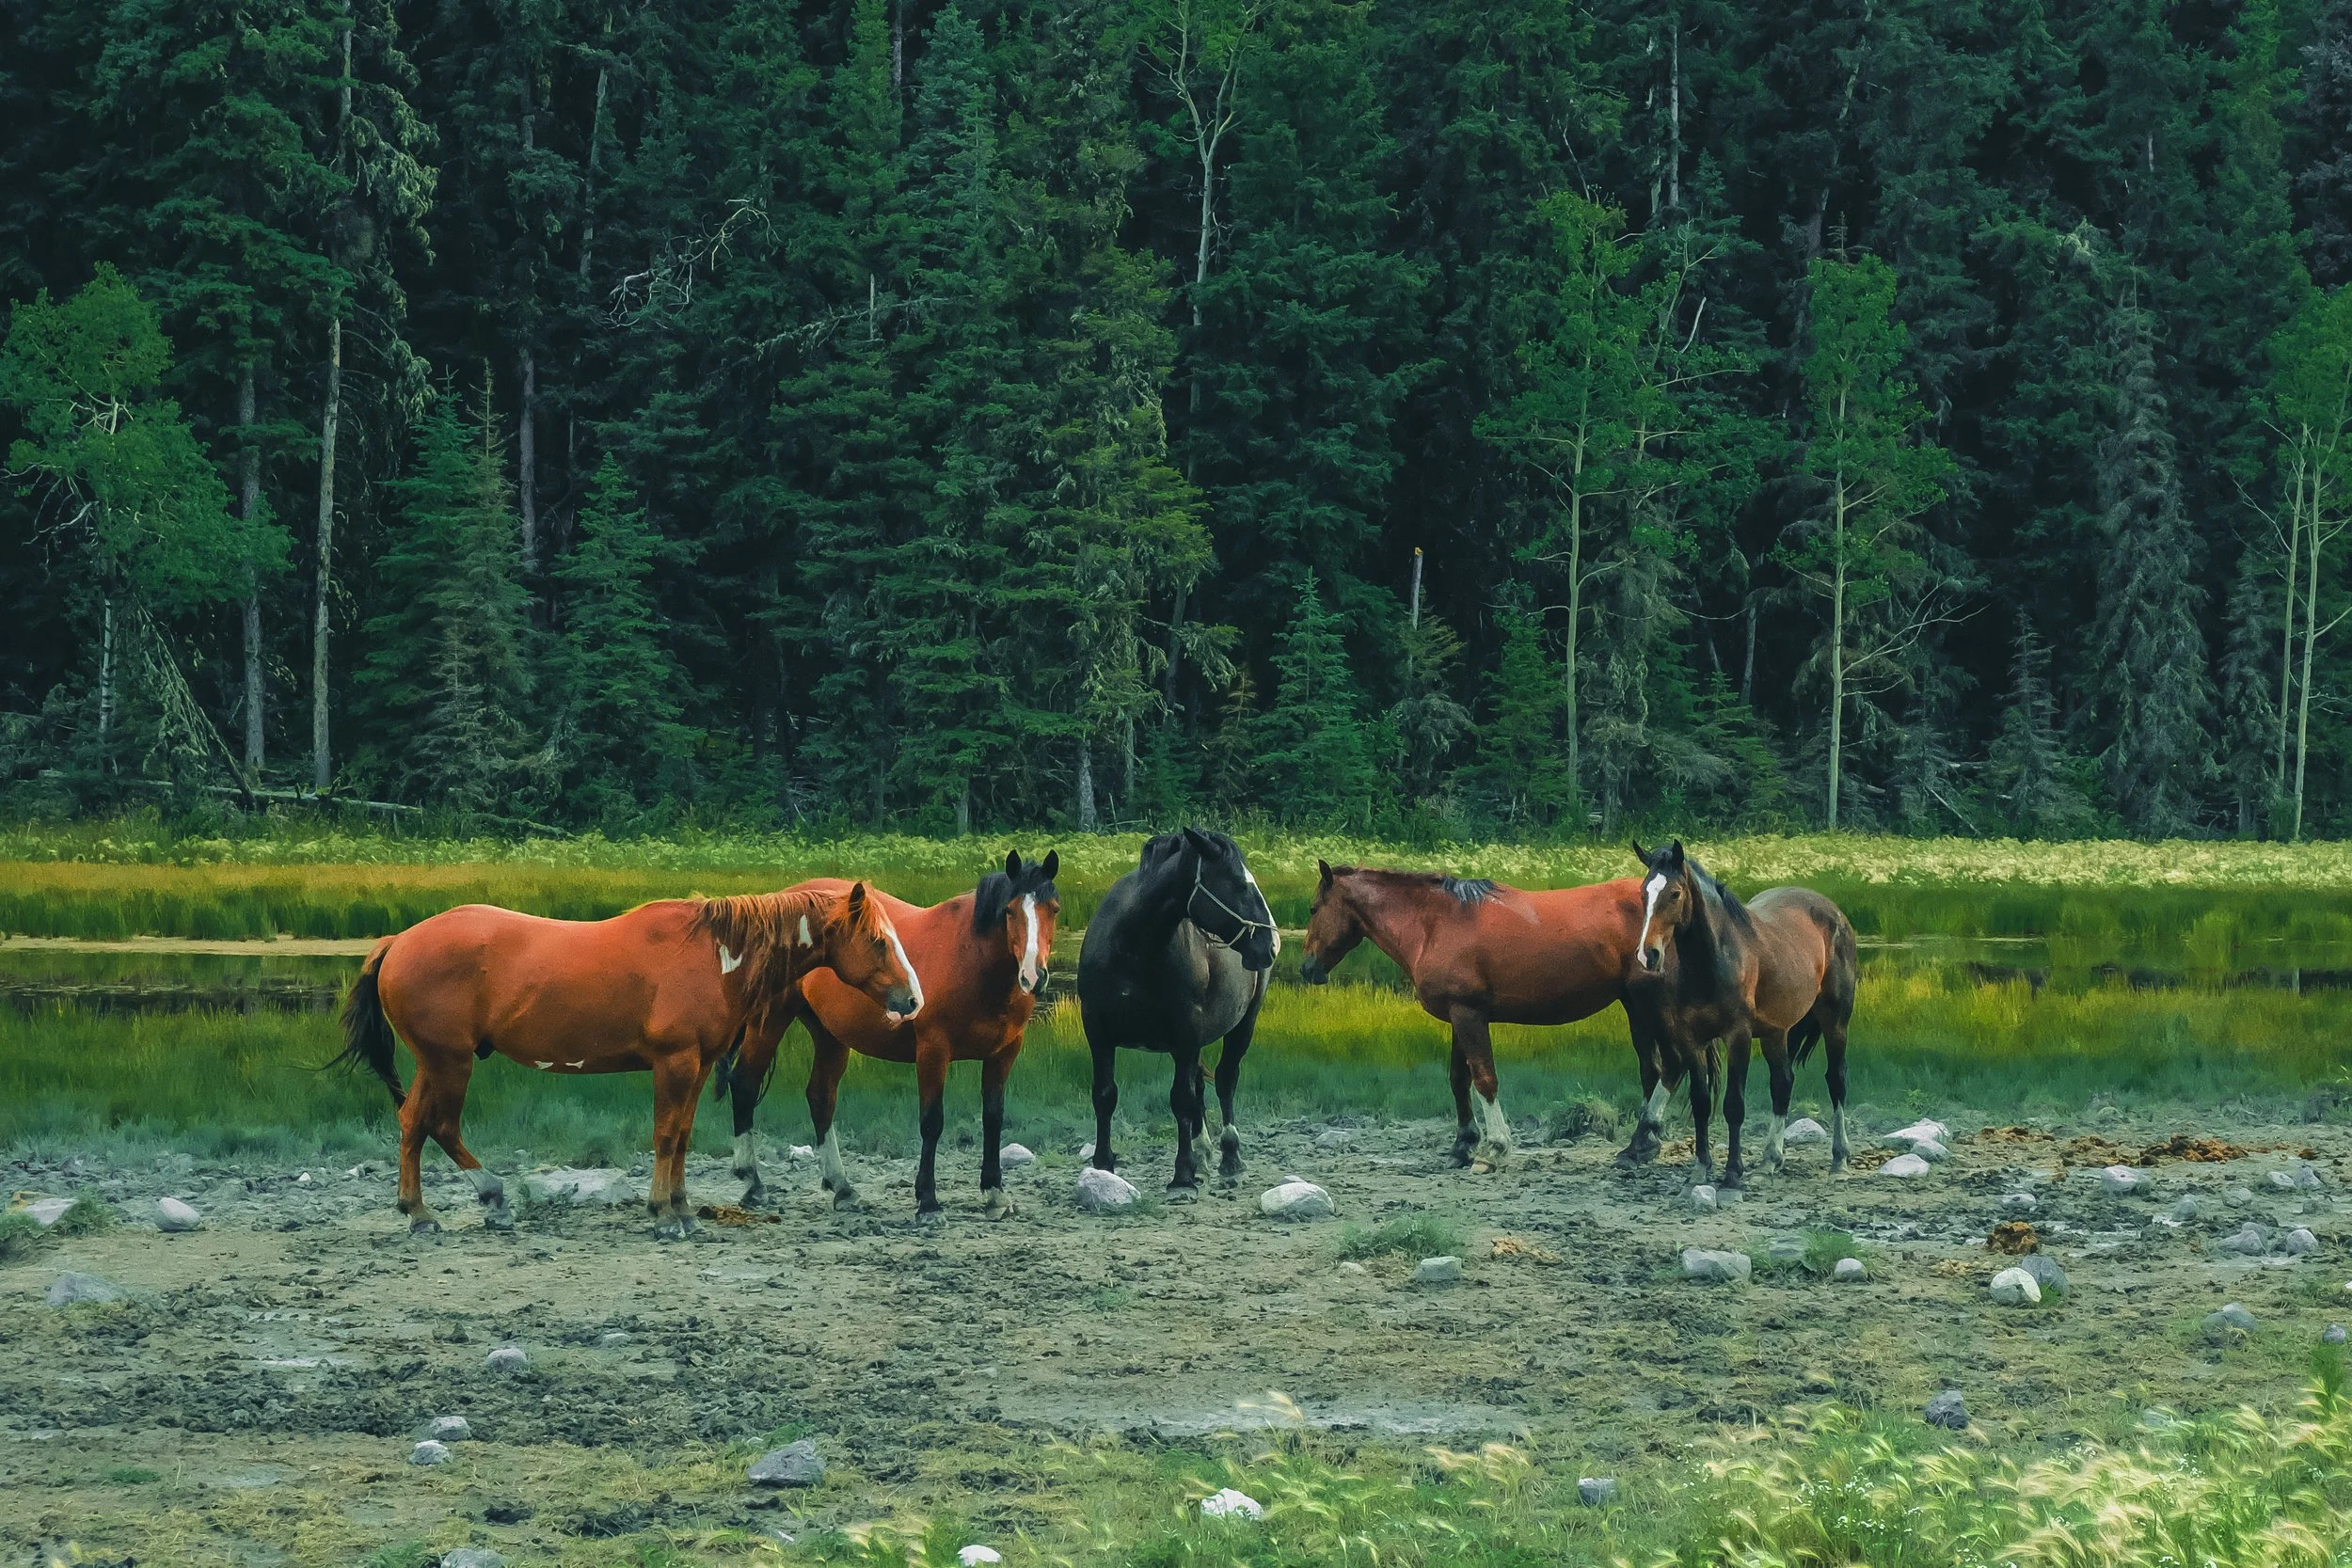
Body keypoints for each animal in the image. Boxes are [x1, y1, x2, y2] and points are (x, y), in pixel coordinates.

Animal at [333, 881, 920, 1239]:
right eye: (876, 939)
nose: (912, 999)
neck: (712, 953)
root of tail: (398, 941)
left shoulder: (697, 1065)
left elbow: (681, 1136)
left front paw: (682, 1208)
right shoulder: (673, 1063)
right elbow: (664, 1135)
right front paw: (661, 1214)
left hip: (440, 1063)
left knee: (421, 1124)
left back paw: (456, 1204)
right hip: (448, 1062)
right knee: (431, 1124)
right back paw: (446, 1207)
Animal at [717, 850, 1061, 1220]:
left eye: (1054, 909)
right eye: (1009, 911)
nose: (1033, 977)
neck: (970, 958)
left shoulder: (1004, 1052)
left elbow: (994, 1118)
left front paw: (996, 1194)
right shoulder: (933, 1050)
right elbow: (932, 1122)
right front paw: (928, 1201)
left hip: (829, 1034)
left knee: (821, 1097)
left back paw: (843, 1187)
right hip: (771, 1021)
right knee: (745, 1084)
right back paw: (752, 1182)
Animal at [1076, 827, 1278, 1192]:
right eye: (1240, 884)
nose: (1269, 944)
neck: (1132, 947)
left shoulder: (1185, 1032)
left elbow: (1181, 1100)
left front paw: (1182, 1175)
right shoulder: (1097, 1031)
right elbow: (1105, 1095)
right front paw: (1103, 1164)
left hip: (1243, 1025)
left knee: (1225, 1080)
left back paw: (1230, 1157)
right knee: (1201, 1085)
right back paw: (1204, 1153)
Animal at [1298, 861, 1646, 1170]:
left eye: (1314, 909)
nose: (1306, 968)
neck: (1435, 925)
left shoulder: (1470, 1015)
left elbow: (1484, 1079)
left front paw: (1495, 1149)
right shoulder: (1458, 1016)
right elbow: (1459, 1079)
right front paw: (1462, 1146)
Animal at [1619, 839, 1858, 1186]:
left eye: (1675, 893)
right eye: (1642, 893)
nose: (1647, 955)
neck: (1716, 960)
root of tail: (1834, 913)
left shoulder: (1738, 1036)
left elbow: (1734, 1104)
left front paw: (1732, 1173)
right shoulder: (1692, 1039)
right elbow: (1702, 1103)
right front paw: (1700, 1169)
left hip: (1835, 1021)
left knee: (1836, 1079)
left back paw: (1839, 1159)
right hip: (1776, 1033)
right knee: (1783, 1082)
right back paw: (1770, 1160)